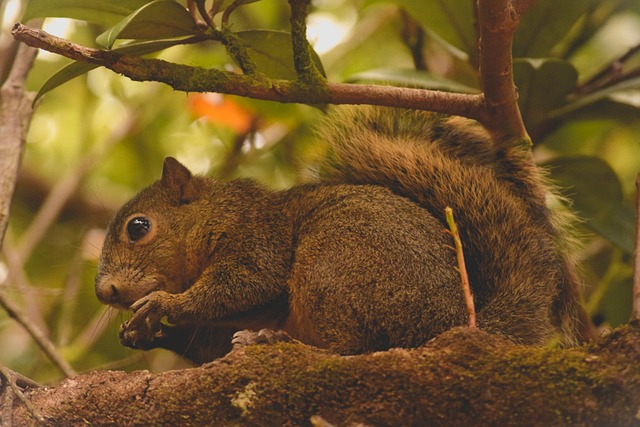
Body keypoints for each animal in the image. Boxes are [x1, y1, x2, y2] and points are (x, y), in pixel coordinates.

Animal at [96, 105, 596, 362]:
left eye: (138, 227)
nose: (106, 292)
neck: (213, 217)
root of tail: (454, 325)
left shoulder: (256, 238)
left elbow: (245, 284)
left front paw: (163, 305)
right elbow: (210, 344)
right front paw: (141, 334)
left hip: (334, 264)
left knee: (355, 349)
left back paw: (272, 340)